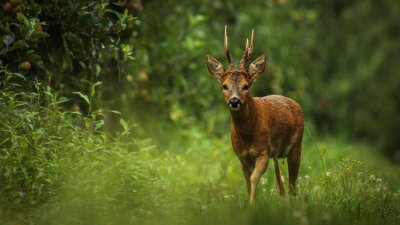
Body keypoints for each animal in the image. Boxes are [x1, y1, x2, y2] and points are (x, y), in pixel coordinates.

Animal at [206, 26, 304, 206]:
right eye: (224, 86)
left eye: (246, 86)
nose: (234, 101)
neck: (247, 136)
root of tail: (294, 103)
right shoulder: (242, 156)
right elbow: (247, 182)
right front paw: (251, 203)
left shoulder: (263, 151)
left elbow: (254, 179)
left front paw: (252, 206)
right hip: (276, 153)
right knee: (281, 182)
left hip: (297, 145)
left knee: (293, 183)